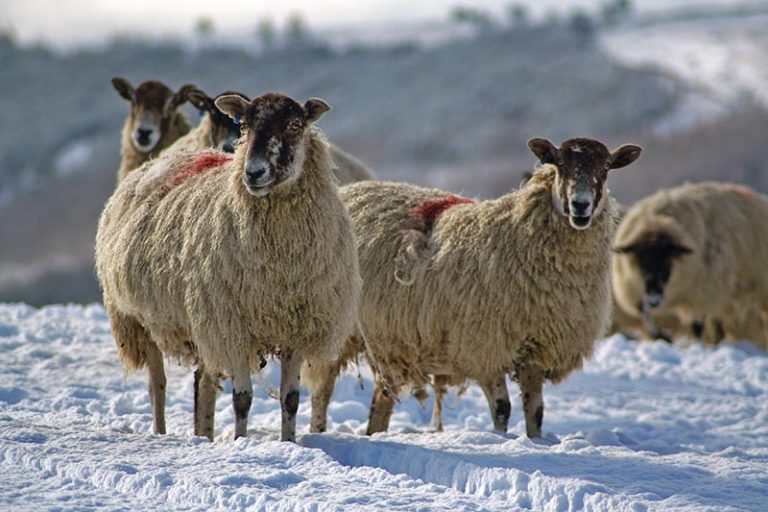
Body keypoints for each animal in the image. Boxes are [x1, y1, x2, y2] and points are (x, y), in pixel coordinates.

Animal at [96, 92, 361, 442]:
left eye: (294, 125)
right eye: (245, 125)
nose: (253, 173)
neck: (281, 263)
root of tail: (156, 162)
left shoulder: (297, 327)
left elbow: (290, 399)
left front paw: (289, 442)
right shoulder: (232, 328)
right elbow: (242, 399)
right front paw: (240, 441)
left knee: (204, 384)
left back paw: (203, 433)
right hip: (139, 318)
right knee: (158, 385)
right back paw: (161, 433)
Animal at [307, 137, 641, 437]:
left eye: (606, 168)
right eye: (559, 165)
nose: (580, 206)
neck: (518, 235)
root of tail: (350, 190)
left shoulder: (535, 348)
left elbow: (535, 412)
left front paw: (534, 443)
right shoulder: (484, 346)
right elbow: (503, 408)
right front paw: (502, 441)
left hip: (390, 341)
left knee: (381, 400)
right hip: (334, 327)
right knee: (321, 391)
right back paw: (317, 431)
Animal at [613, 181, 768, 349]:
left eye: (667, 262)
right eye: (640, 263)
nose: (654, 300)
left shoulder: (700, 294)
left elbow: (696, 327)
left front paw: (696, 347)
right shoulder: (634, 291)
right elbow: (644, 314)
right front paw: (661, 336)